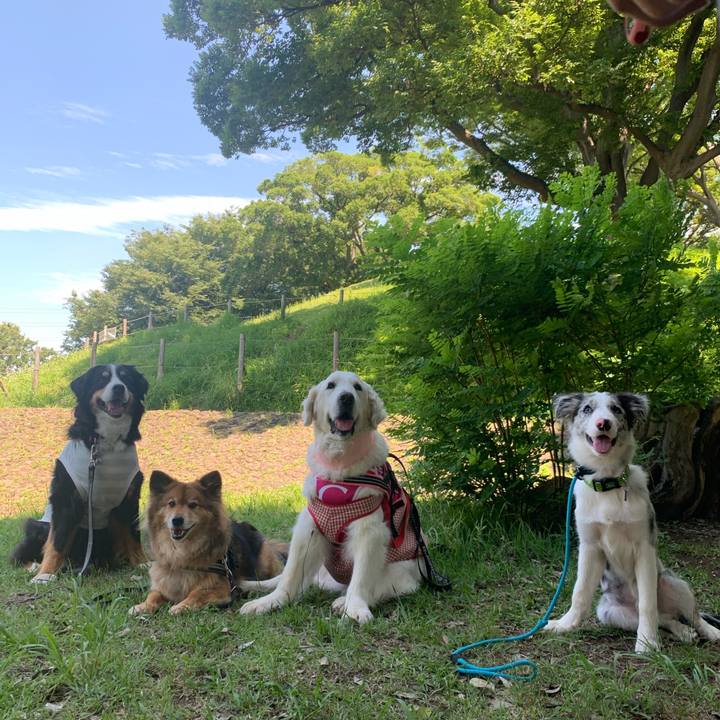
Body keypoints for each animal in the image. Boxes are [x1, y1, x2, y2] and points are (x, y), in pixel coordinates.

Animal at [11, 364, 149, 582]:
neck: (106, 444)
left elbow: (133, 535)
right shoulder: (66, 499)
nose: (119, 388)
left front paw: (142, 563)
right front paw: (45, 574)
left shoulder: (129, 498)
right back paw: (35, 566)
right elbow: (57, 541)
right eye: (102, 379)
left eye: (126, 379)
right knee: (23, 553)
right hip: (38, 526)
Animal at [130, 470, 287, 615]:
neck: (183, 552)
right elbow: (154, 595)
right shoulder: (165, 582)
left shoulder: (223, 588)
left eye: (193, 505)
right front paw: (142, 606)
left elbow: (197, 593)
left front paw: (181, 606)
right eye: (171, 503)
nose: (177, 520)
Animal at [240, 371, 436, 623]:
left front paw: (355, 608)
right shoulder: (309, 526)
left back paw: (343, 602)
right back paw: (251, 586)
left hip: (401, 573)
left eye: (357, 387)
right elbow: (290, 575)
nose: (346, 398)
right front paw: (271, 602)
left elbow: (361, 579)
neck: (339, 467)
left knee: (374, 587)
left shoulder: (369, 530)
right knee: (284, 578)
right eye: (331, 386)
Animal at [546, 391, 720, 652]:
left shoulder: (644, 547)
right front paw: (565, 624)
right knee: (665, 619)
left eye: (616, 409)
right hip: (609, 612)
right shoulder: (589, 547)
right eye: (587, 409)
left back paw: (708, 631)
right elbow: (580, 592)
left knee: (690, 615)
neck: (607, 483)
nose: (603, 424)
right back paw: (682, 633)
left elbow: (647, 604)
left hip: (675, 584)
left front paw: (646, 643)